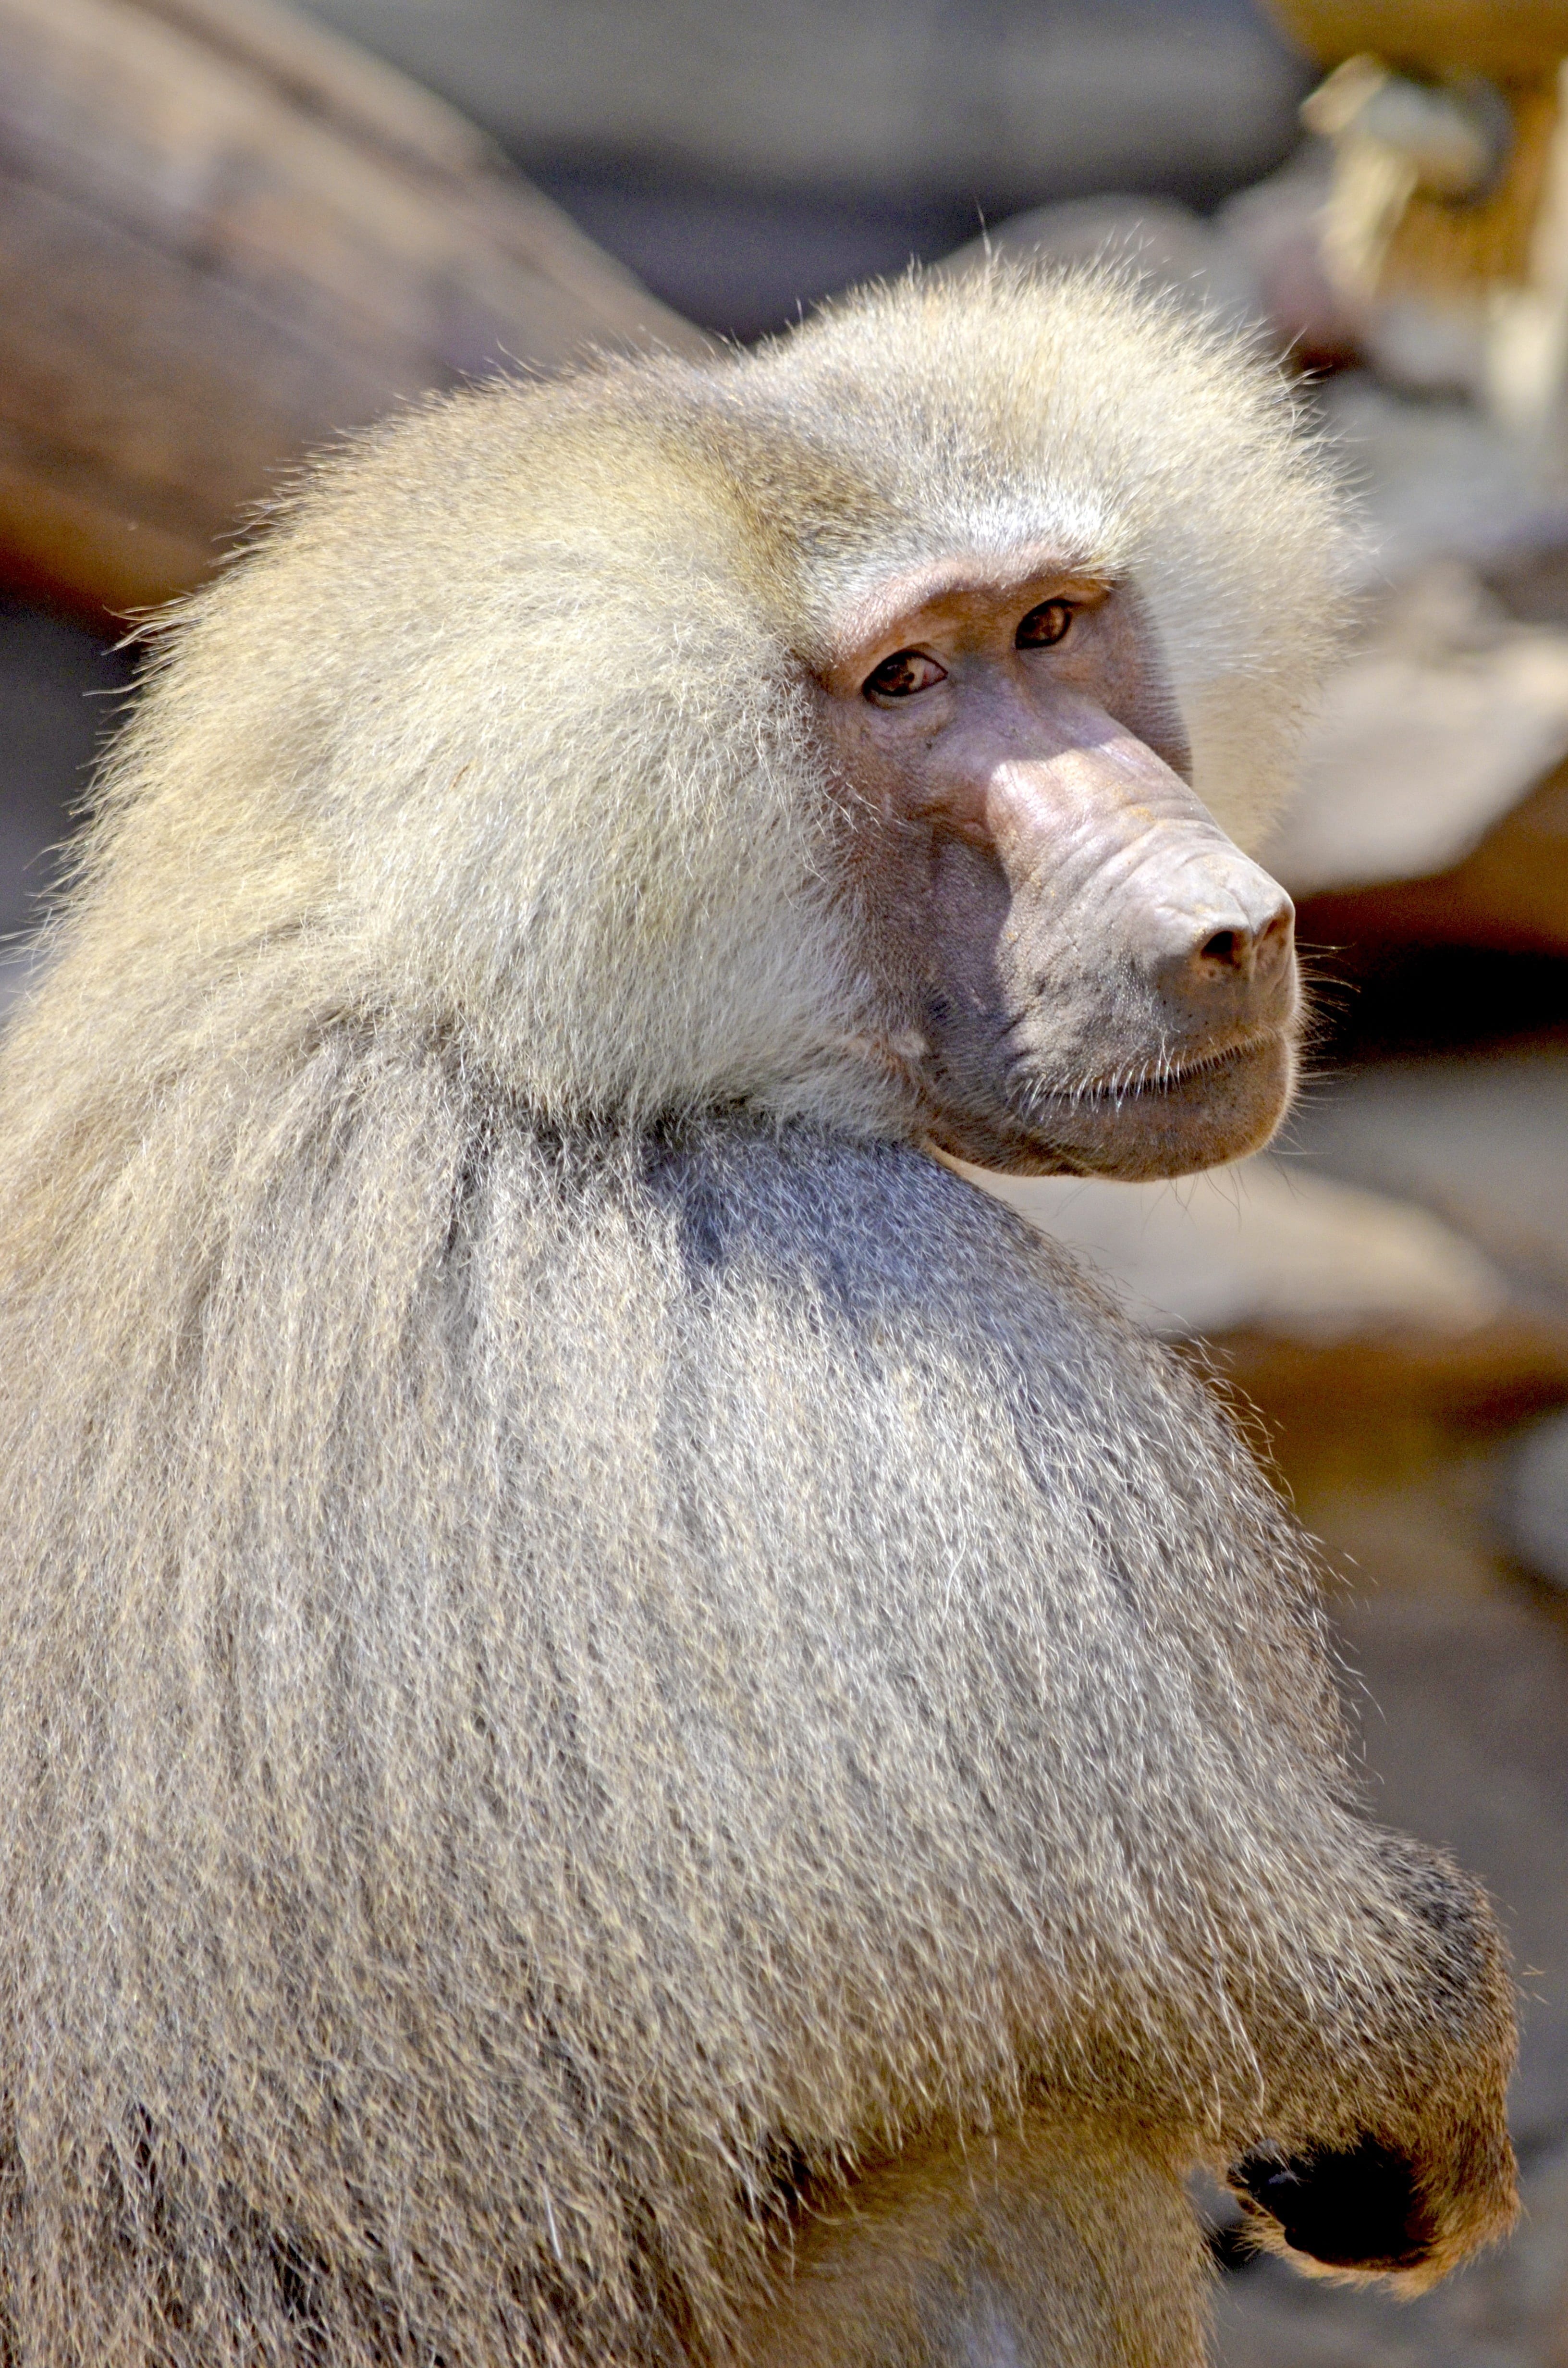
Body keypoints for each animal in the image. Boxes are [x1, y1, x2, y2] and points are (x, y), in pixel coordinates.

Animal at [0, 263, 1517, 2368]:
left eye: (1053, 626)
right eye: (905, 684)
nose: (1230, 930)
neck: (421, 954)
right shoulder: (894, 1327)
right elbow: (1207, 1958)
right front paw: (1427, 2055)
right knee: (1042, 2169)